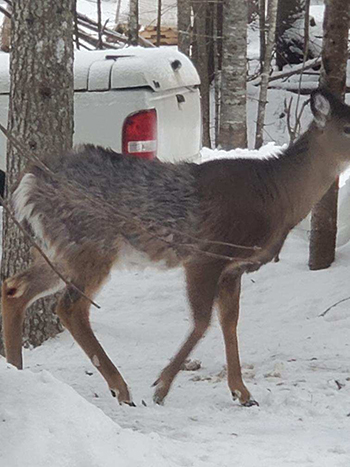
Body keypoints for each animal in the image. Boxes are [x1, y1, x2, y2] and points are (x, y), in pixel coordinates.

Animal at [2, 89, 350, 408]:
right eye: (347, 127)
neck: (276, 197)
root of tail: (28, 181)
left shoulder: (232, 268)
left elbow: (229, 322)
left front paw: (241, 391)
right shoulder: (204, 255)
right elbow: (202, 322)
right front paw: (162, 386)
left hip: (55, 249)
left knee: (15, 288)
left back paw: (18, 371)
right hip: (89, 242)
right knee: (70, 307)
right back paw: (121, 388)